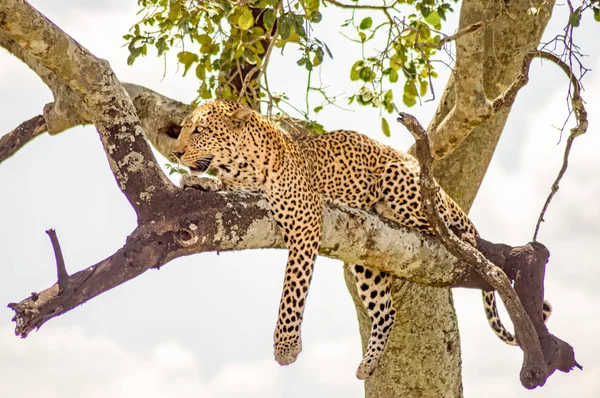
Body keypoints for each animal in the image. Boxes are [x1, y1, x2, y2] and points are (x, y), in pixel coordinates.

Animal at [171, 99, 552, 380]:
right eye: (184, 129)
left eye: (199, 130)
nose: (175, 153)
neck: (242, 166)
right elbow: (220, 185)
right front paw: (196, 182)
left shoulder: (306, 221)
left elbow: (292, 290)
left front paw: (285, 347)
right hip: (367, 260)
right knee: (387, 311)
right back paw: (368, 364)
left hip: (404, 184)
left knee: (453, 227)